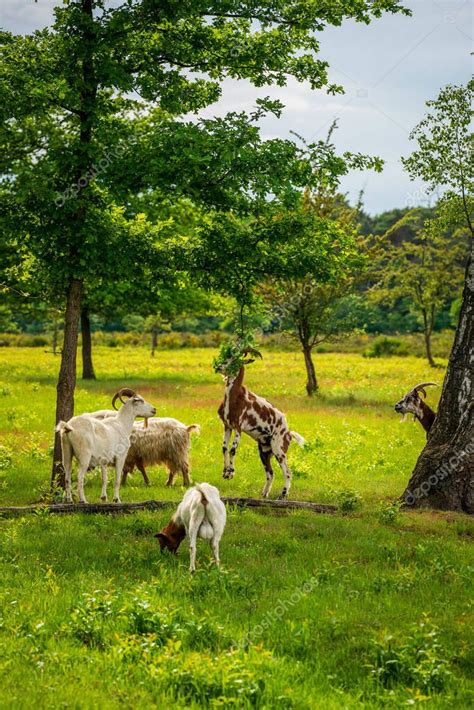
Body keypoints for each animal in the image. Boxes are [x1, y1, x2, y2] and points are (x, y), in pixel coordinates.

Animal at [215, 347, 305, 499]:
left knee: (287, 472)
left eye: (235, 360)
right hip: (264, 451)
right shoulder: (227, 426)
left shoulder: (238, 427)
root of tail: (289, 433)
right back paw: (264, 494)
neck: (236, 397)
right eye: (227, 356)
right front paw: (225, 472)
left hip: (279, 450)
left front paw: (231, 472)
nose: (218, 367)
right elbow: (224, 448)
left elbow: (233, 450)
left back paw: (282, 495)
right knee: (270, 473)